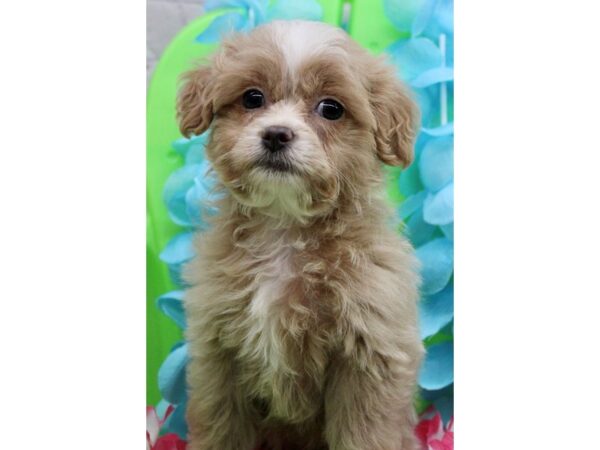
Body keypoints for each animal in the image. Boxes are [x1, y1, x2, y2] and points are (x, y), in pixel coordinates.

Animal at [179, 19, 426, 448]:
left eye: (331, 108)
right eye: (252, 98)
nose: (276, 134)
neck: (285, 228)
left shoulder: (368, 355)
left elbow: (364, 433)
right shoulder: (218, 354)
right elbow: (222, 427)